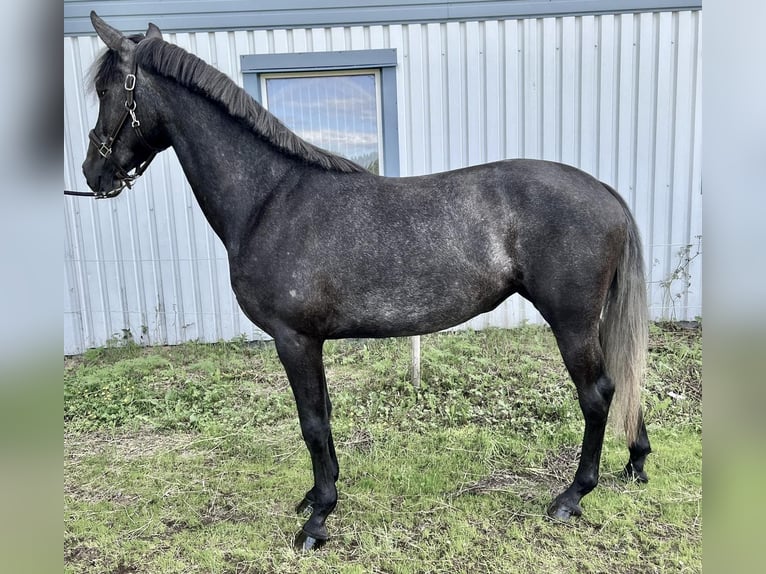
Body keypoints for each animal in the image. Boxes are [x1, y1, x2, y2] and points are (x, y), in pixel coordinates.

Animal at [81, 12, 652, 552]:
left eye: (106, 91)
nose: (92, 173)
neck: (269, 199)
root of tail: (604, 191)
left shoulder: (294, 340)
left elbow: (312, 423)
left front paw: (317, 520)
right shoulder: (309, 342)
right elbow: (324, 418)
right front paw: (317, 495)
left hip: (571, 322)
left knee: (597, 394)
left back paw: (572, 496)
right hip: (593, 321)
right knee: (622, 380)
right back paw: (636, 463)